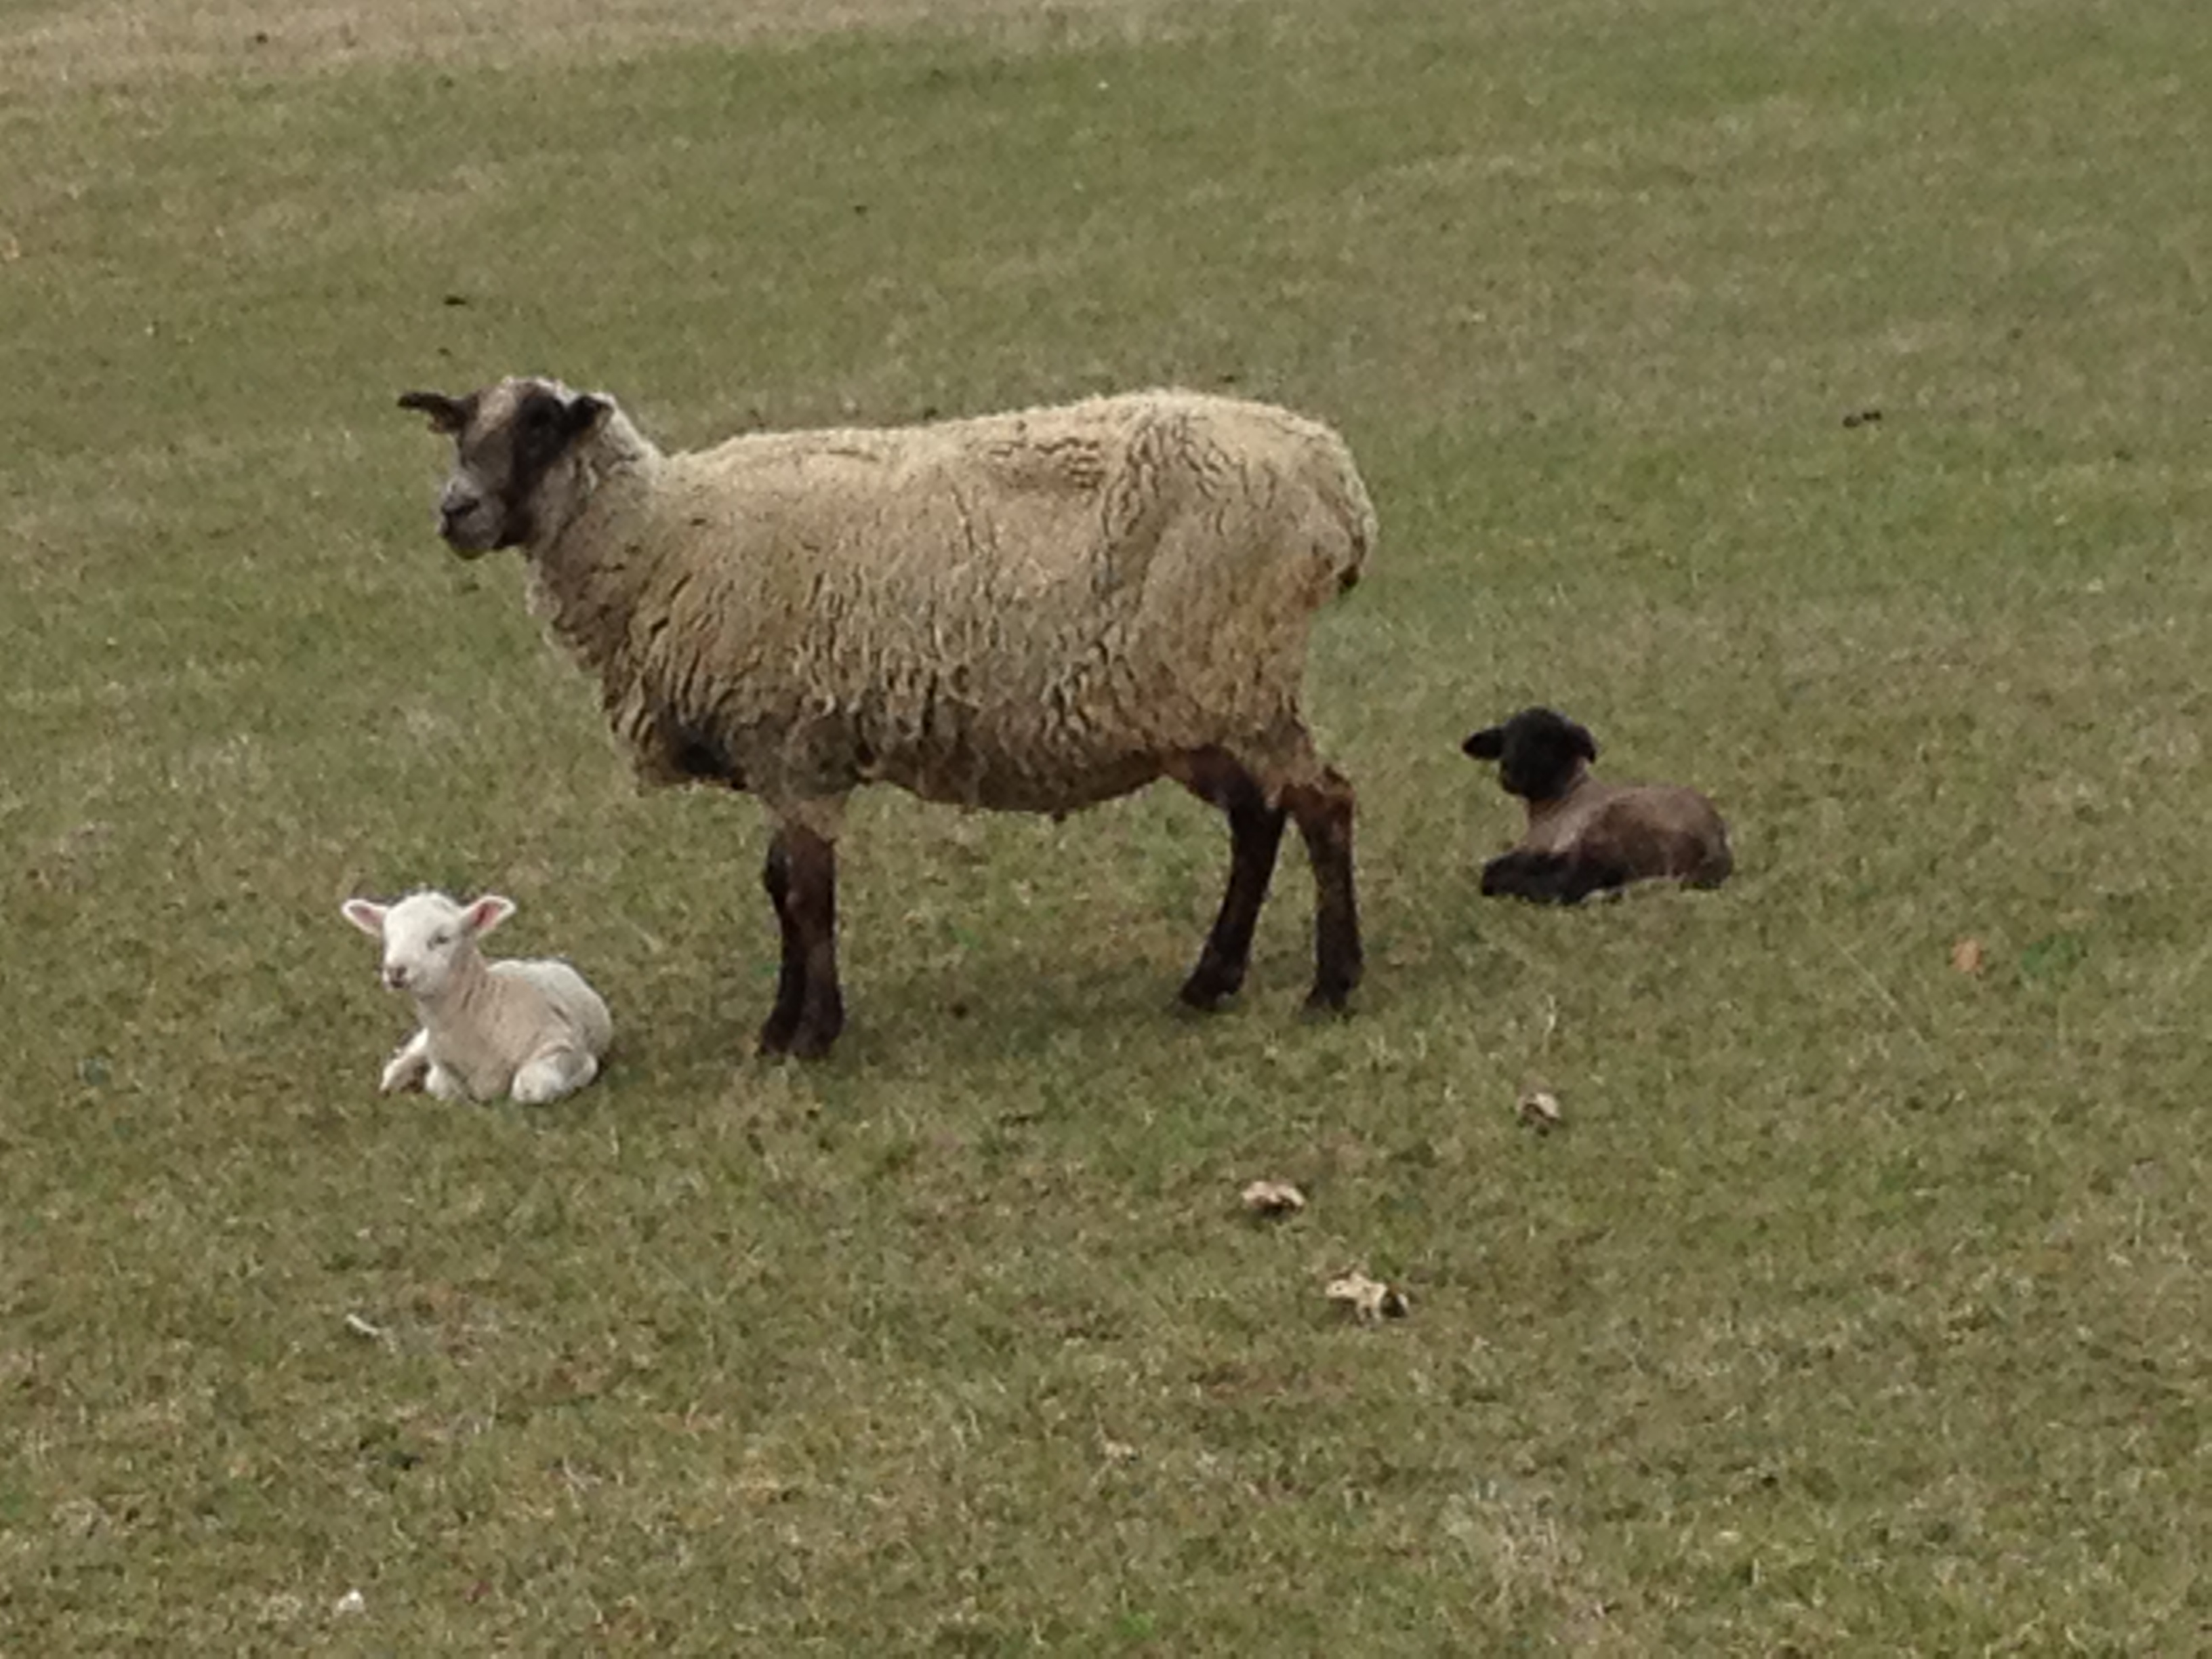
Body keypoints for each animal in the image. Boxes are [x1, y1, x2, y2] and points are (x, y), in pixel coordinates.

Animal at [339, 889, 613, 1104]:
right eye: (387, 939)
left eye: (442, 939)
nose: (395, 971)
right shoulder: (443, 1071)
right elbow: (440, 1087)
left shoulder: (561, 1044)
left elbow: (528, 1088)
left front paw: (575, 1081)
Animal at [395, 376, 1376, 1059]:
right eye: (463, 428)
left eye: (538, 428)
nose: (454, 511)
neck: (661, 537)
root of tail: (1334, 479)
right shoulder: (783, 755)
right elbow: (780, 888)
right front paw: (781, 1028)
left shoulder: (792, 744)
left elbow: (806, 894)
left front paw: (810, 1034)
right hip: (1195, 706)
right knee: (1258, 819)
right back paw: (1211, 981)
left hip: (1239, 675)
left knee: (1322, 804)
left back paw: (1331, 986)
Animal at [1461, 706, 1732, 903]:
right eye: (1506, 739)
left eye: (1547, 740)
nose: (1508, 774)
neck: (1562, 798)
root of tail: (1715, 840)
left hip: (1612, 830)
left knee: (1572, 883)